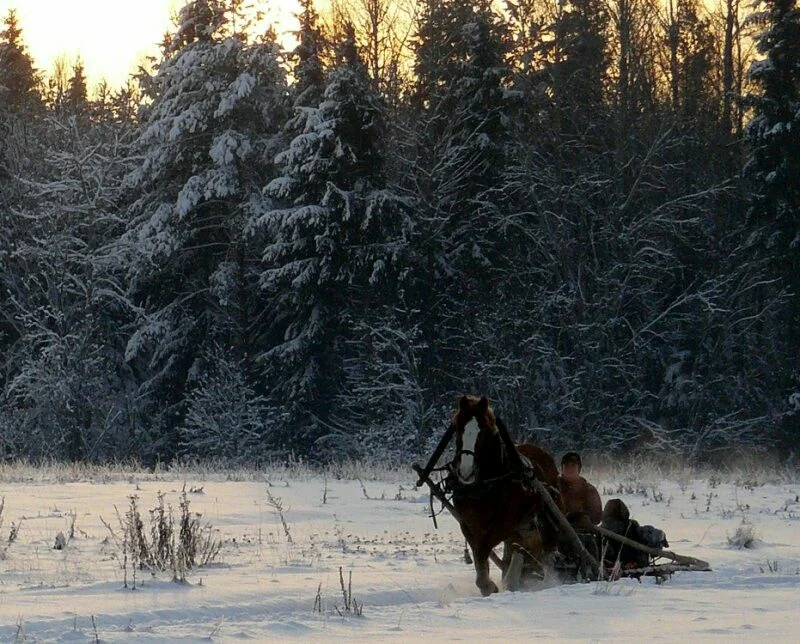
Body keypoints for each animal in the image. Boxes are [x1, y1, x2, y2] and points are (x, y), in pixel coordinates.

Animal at [450, 394, 564, 596]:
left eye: (483, 432)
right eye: (459, 429)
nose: (465, 472)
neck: (484, 486)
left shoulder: (506, 523)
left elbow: (483, 548)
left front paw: (488, 585)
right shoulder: (467, 523)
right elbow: (478, 552)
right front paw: (487, 585)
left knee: (541, 548)